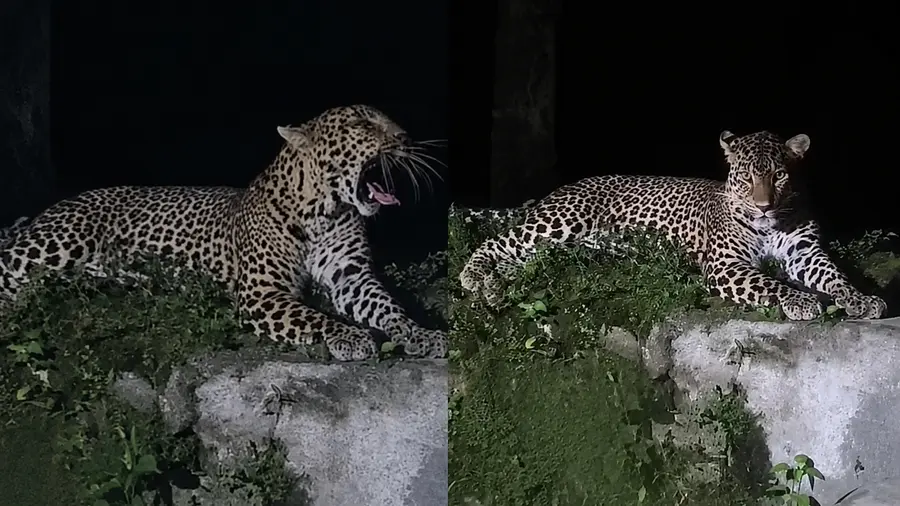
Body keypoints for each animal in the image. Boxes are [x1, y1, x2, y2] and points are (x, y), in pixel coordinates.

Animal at [0, 104, 448, 361]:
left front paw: (424, 335)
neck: (325, 210)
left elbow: (388, 308)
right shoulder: (263, 293)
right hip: (55, 243)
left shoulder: (351, 276)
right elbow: (312, 316)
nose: (406, 138)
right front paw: (350, 336)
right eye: (360, 123)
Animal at [459, 130, 886, 321]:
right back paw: (475, 275)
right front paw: (799, 300)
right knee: (499, 241)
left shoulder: (805, 252)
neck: (769, 224)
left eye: (779, 176)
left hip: (561, 246)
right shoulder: (725, 265)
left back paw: (495, 285)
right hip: (561, 222)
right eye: (746, 177)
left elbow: (834, 275)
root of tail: (559, 189)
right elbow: (768, 282)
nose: (764, 207)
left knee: (524, 260)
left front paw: (861, 299)